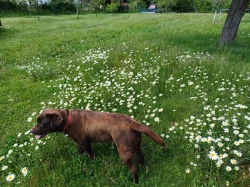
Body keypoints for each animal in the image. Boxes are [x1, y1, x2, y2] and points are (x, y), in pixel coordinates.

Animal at [30, 108, 165, 183]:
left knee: (133, 169)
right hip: (136, 145)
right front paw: (79, 157)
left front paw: (92, 162)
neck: (68, 119)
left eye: (41, 123)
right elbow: (79, 151)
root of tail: (132, 122)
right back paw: (142, 168)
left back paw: (134, 182)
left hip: (124, 152)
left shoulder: (85, 143)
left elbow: (90, 155)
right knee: (141, 157)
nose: (30, 131)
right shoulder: (79, 142)